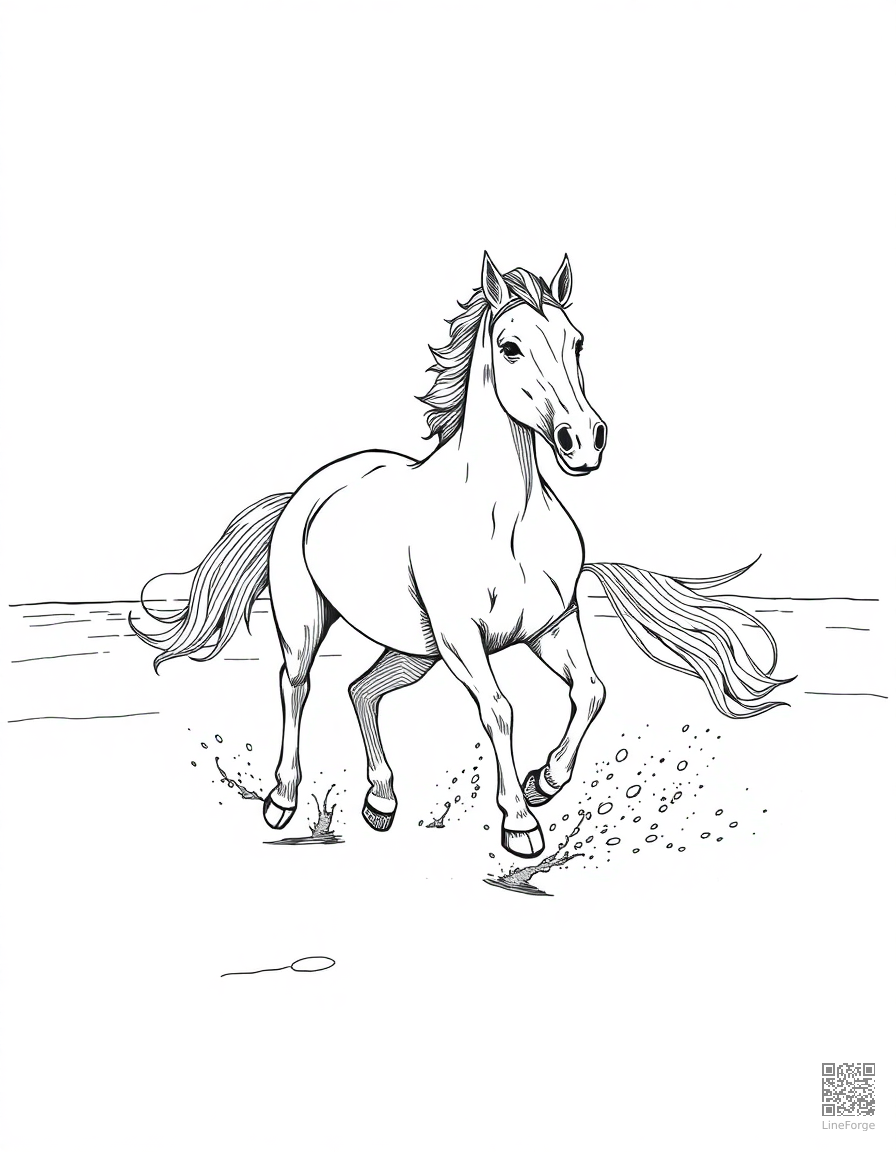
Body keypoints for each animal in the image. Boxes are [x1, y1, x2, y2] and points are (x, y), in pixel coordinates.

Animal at [134, 253, 791, 858]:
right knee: (295, 685)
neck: (506, 521)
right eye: (510, 347)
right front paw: (521, 824)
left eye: (576, 341)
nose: (584, 441)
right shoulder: (462, 639)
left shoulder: (550, 626)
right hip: (310, 622)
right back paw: (283, 800)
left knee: (362, 690)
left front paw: (545, 781)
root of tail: (303, 492)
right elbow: (500, 710)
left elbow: (591, 692)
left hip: (414, 650)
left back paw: (381, 801)